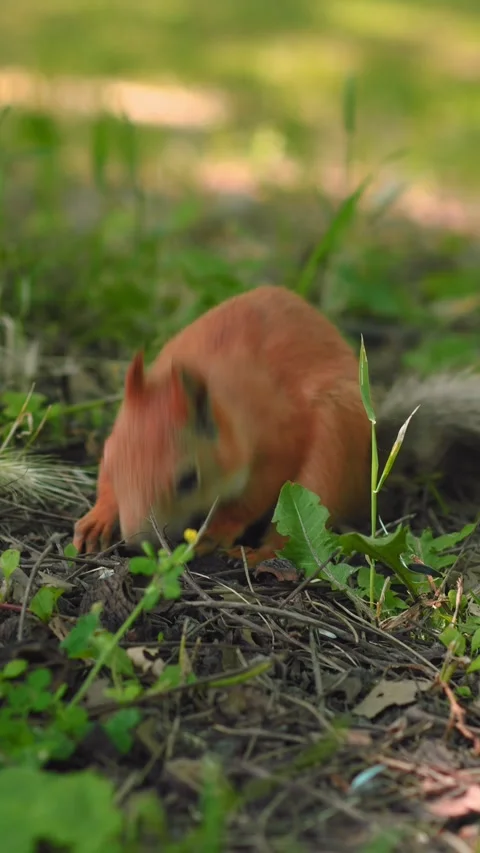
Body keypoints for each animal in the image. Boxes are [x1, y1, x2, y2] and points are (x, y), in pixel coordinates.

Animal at [72, 285, 480, 569]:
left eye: (189, 480)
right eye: (111, 462)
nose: (137, 543)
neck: (231, 409)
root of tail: (368, 459)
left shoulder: (280, 442)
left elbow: (253, 497)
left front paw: (217, 530)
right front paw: (98, 517)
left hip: (332, 449)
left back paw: (260, 556)